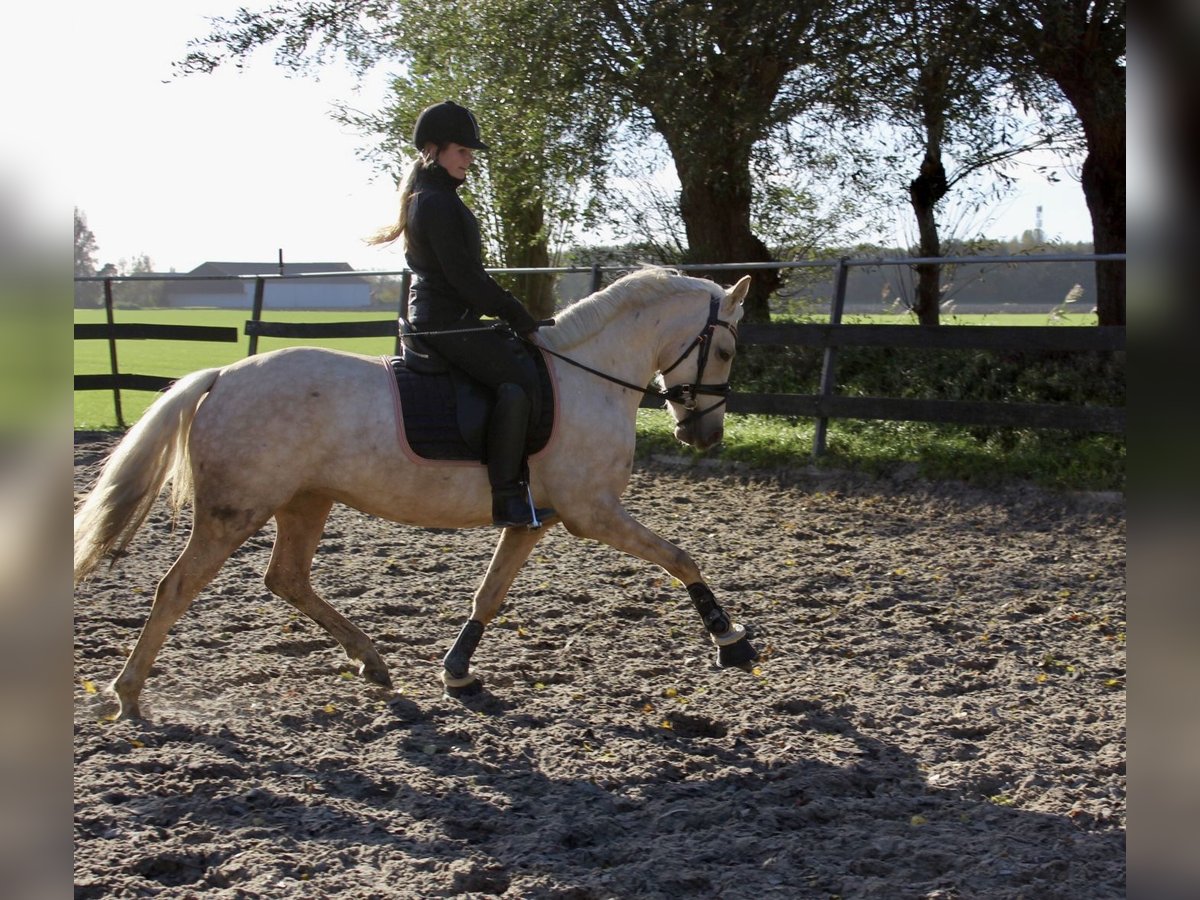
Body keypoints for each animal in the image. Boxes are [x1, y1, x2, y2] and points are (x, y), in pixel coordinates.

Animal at [72, 266, 758, 720]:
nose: (705, 435)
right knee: (177, 588)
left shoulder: (534, 518)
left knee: (287, 578)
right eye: (725, 348)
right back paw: (128, 694)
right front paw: (731, 640)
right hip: (234, 512)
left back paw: (372, 661)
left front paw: (458, 675)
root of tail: (221, 377)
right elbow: (680, 558)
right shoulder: (592, 513)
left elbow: (490, 594)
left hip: (306, 501)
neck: (589, 378)